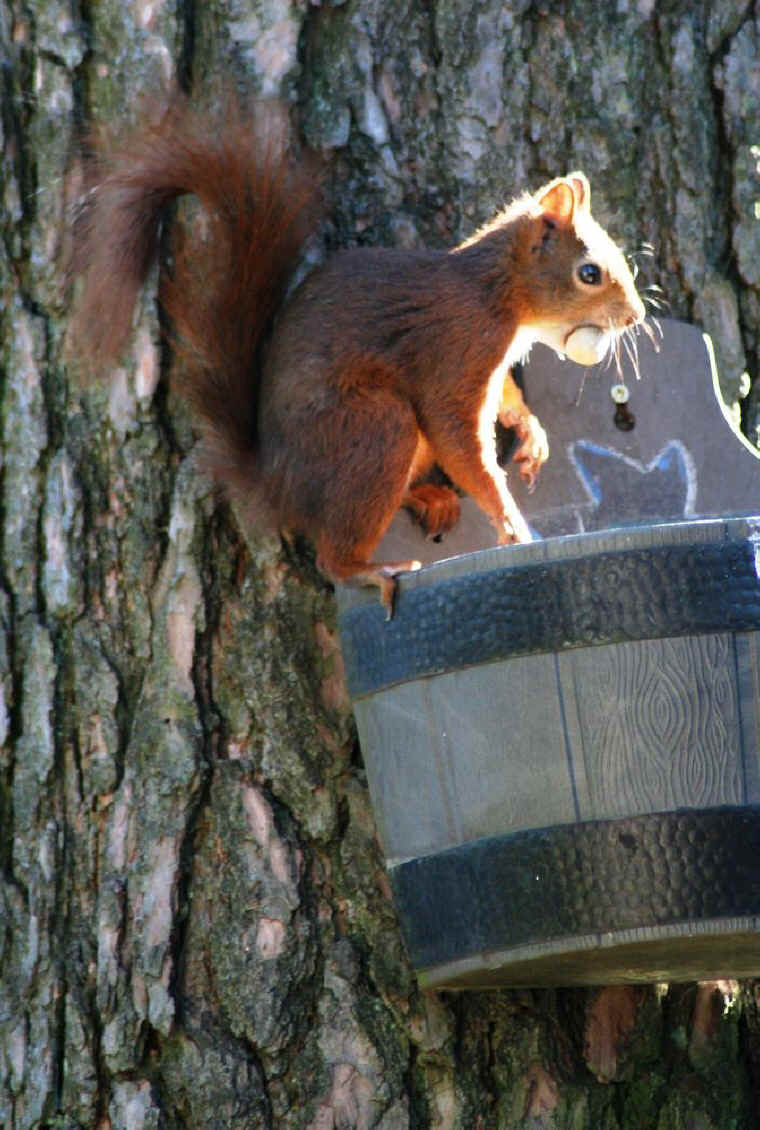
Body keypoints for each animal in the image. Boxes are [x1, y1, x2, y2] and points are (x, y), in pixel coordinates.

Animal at [70, 95, 646, 613]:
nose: (637, 315)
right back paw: (372, 570)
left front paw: (532, 437)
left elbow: (505, 397)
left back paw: (426, 498)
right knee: (335, 554)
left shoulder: (491, 362)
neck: (495, 291)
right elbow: (460, 439)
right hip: (374, 427)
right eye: (589, 272)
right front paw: (510, 523)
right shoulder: (457, 348)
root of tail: (276, 483)